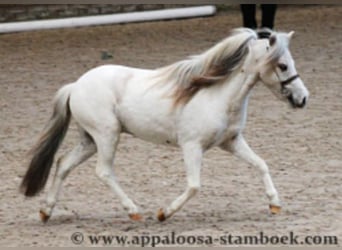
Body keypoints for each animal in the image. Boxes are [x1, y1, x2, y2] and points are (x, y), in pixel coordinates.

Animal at [21, 27, 310, 223]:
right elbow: (194, 186)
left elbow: (261, 164)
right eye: (282, 65)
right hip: (107, 135)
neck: (215, 93)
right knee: (103, 172)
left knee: (63, 164)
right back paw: (134, 211)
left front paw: (275, 204)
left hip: (90, 140)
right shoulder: (191, 147)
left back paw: (46, 211)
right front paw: (163, 213)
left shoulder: (231, 142)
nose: (302, 98)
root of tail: (75, 86)